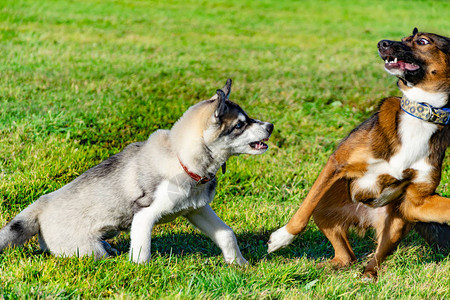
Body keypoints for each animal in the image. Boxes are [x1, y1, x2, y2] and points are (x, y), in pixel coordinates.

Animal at [0, 79, 274, 264]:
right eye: (239, 125)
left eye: (248, 119)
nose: (270, 126)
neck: (180, 158)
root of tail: (41, 204)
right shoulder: (144, 214)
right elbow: (141, 252)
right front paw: (140, 271)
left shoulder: (196, 209)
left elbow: (226, 234)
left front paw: (239, 264)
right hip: (88, 251)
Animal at [268, 29, 450, 278]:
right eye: (404, 40)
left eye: (423, 41)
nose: (382, 43)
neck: (422, 114)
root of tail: (363, 218)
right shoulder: (337, 164)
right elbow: (302, 214)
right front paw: (281, 238)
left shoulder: (417, 203)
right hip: (323, 210)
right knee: (346, 256)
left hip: (396, 223)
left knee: (368, 259)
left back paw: (367, 277)